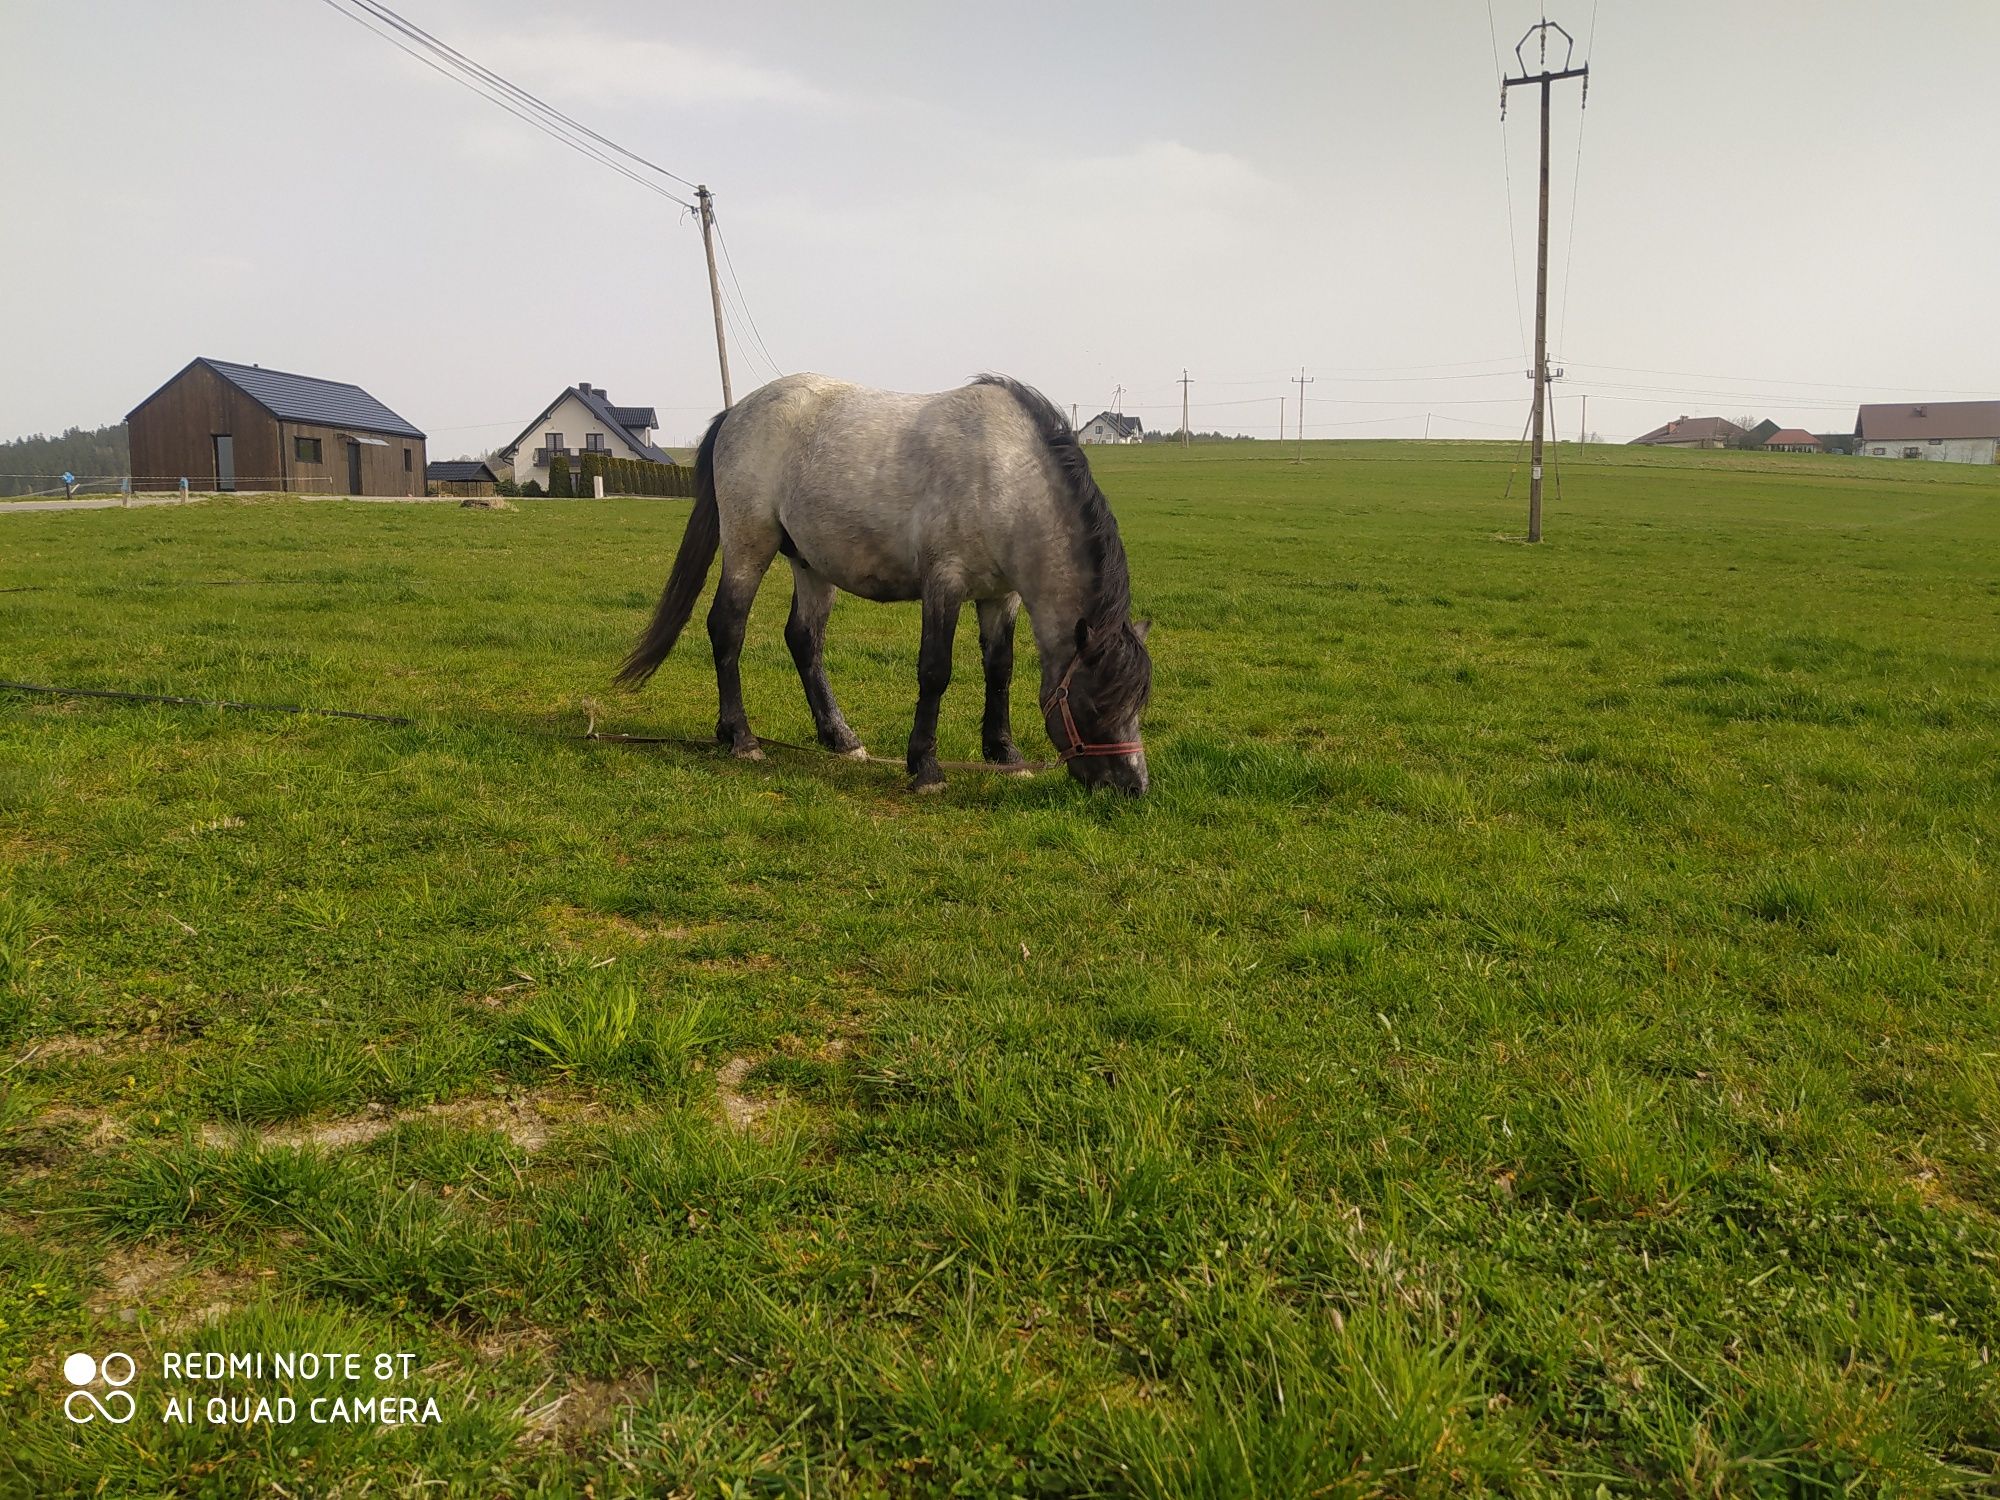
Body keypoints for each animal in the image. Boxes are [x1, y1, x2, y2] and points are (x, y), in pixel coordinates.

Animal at [612, 374, 1160, 800]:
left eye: (1138, 703)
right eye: (1096, 704)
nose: (1133, 787)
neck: (1005, 477)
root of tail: (737, 412)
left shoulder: (999, 596)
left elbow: (999, 671)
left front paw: (1005, 754)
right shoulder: (944, 583)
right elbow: (935, 671)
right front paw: (926, 769)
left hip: (811, 563)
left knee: (804, 639)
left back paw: (839, 737)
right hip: (750, 545)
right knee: (727, 628)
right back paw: (741, 738)